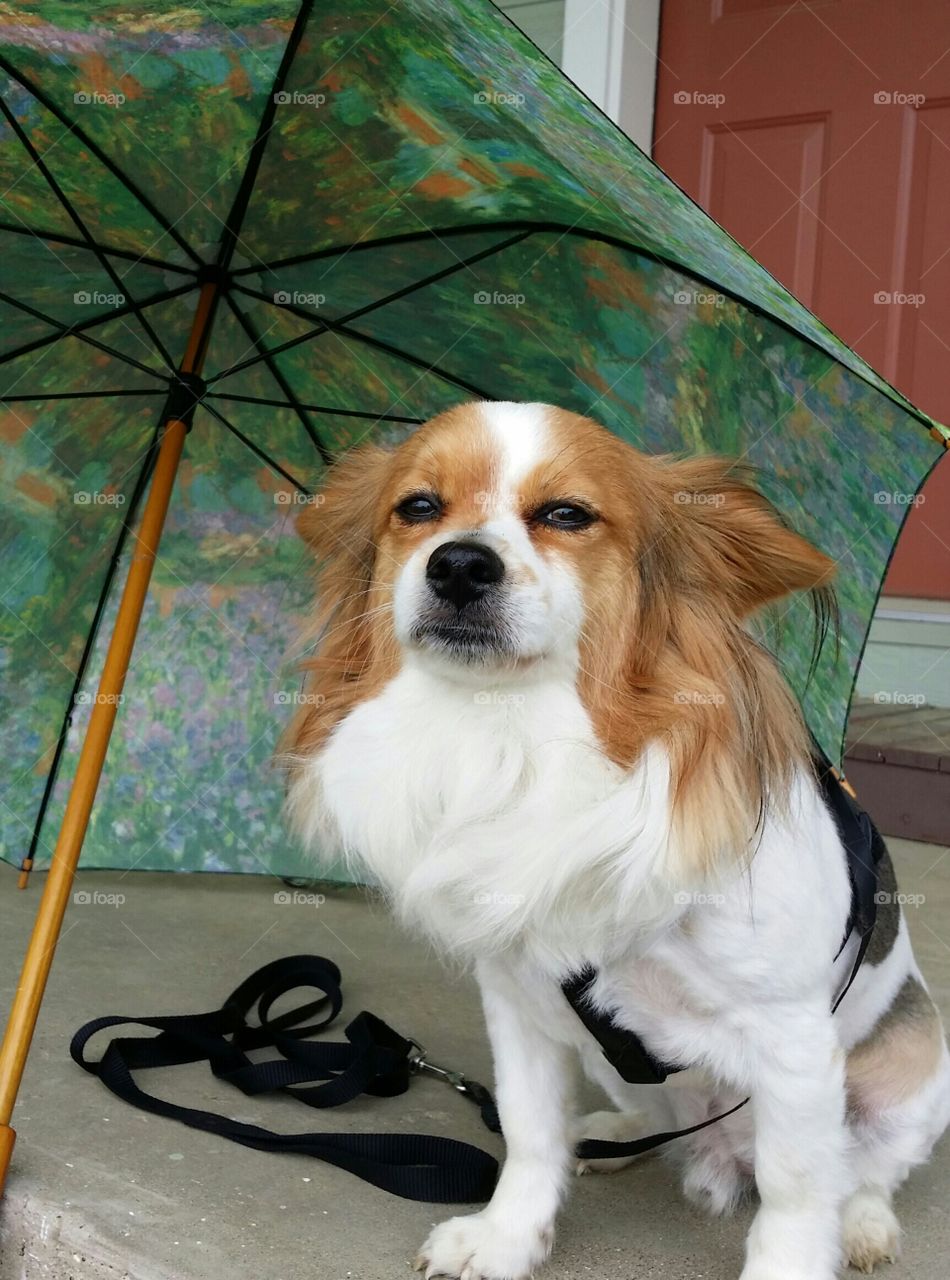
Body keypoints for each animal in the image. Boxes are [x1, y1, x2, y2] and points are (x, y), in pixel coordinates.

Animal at [282, 401, 950, 1280]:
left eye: (568, 515)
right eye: (418, 508)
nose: (459, 565)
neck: (512, 731)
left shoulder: (793, 1040)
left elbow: (798, 1190)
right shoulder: (519, 1000)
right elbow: (529, 1132)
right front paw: (508, 1236)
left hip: (917, 1072)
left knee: (865, 1168)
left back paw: (865, 1222)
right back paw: (612, 1134)